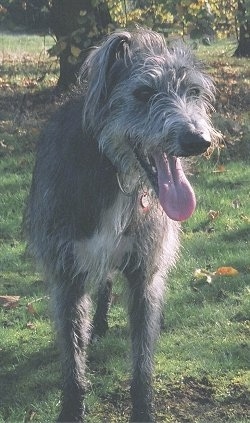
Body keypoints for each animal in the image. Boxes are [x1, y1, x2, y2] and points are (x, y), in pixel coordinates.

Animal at [24, 28, 218, 422]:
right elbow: (72, 355)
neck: (115, 172)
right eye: (143, 93)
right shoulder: (66, 275)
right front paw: (72, 408)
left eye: (193, 91)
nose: (198, 140)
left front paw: (143, 409)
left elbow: (142, 359)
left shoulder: (144, 272)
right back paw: (96, 325)